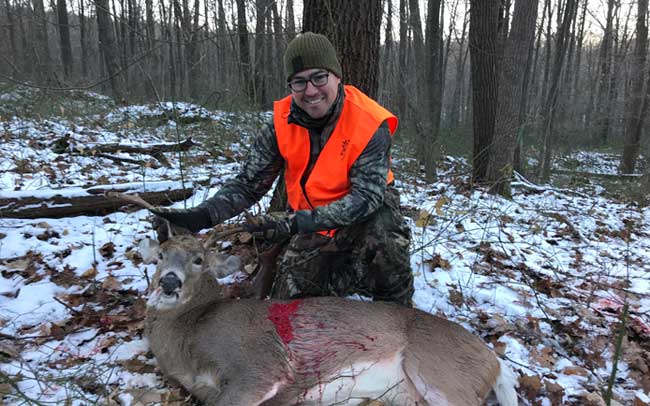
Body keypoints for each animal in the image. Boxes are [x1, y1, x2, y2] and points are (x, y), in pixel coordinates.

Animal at [107, 193, 516, 406]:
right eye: (160, 256)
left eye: (199, 261)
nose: (169, 283)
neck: (189, 337)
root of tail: (495, 361)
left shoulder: (257, 365)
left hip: (442, 373)